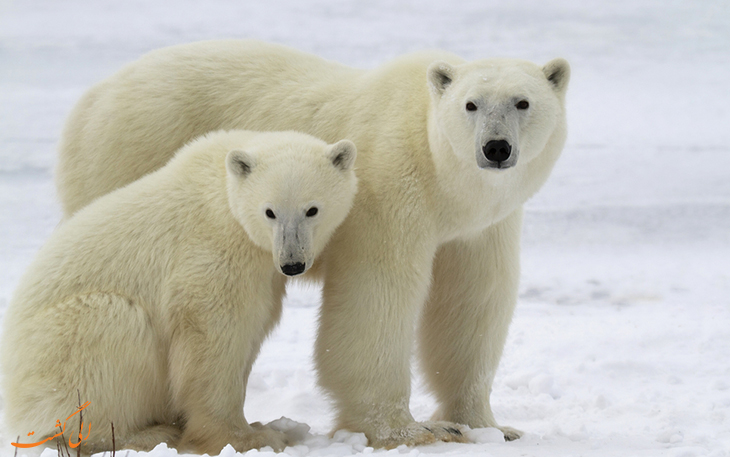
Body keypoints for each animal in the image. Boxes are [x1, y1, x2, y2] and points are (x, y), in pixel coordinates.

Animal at [2, 130, 358, 454]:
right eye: (269, 211)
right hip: (61, 348)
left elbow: (251, 327)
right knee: (116, 326)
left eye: (312, 209)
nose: (292, 263)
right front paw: (253, 437)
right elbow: (213, 339)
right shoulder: (209, 254)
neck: (224, 193)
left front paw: (263, 426)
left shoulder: (262, 273)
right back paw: (147, 434)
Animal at [57, 39, 568, 446]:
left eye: (523, 102)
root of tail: (91, 97)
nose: (496, 148)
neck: (441, 179)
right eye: (471, 105)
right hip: (130, 153)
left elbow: (472, 303)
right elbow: (377, 299)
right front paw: (410, 431)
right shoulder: (388, 194)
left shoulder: (480, 227)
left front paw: (490, 426)